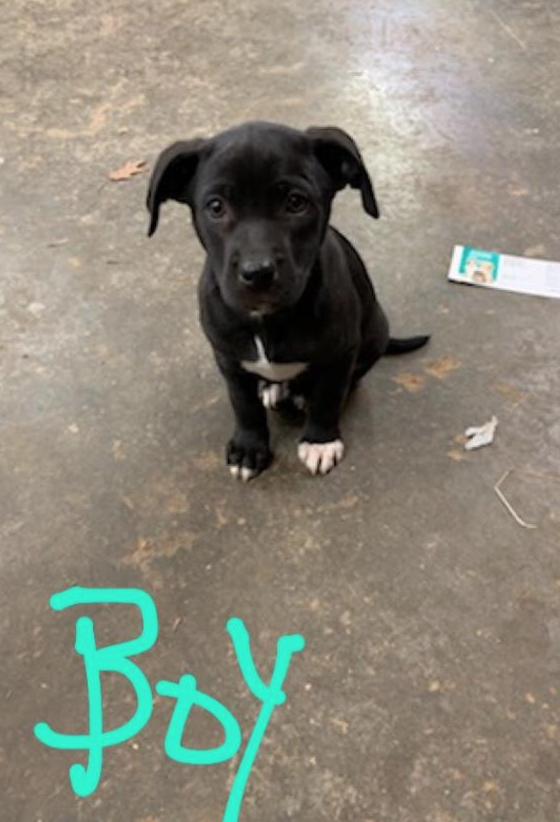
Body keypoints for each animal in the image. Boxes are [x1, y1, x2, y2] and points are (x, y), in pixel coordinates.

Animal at [145, 124, 428, 480]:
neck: (267, 319)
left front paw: (320, 441)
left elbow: (329, 396)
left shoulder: (341, 353)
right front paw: (248, 448)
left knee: (350, 379)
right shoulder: (227, 357)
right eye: (216, 207)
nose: (257, 273)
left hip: (376, 329)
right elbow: (243, 405)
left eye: (296, 202)